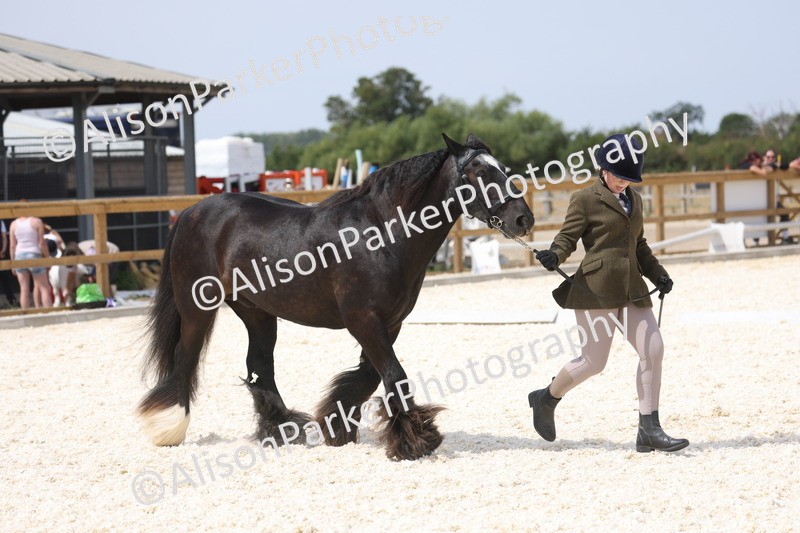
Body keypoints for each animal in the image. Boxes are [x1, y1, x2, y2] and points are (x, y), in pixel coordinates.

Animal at [137, 133, 535, 460]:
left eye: (502, 169)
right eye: (480, 172)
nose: (523, 220)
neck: (382, 234)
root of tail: (191, 212)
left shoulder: (389, 323)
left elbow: (369, 376)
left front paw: (338, 426)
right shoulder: (364, 320)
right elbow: (394, 375)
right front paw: (415, 441)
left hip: (257, 313)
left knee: (259, 367)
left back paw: (282, 429)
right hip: (197, 309)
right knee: (185, 359)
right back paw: (168, 427)